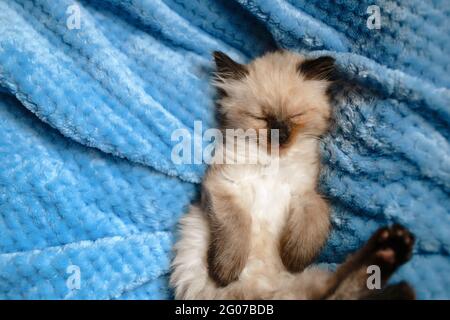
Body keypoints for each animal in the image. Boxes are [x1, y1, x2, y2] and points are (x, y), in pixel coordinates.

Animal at [171, 50, 416, 300]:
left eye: (296, 116)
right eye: (262, 118)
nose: (281, 135)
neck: (274, 160)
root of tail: (268, 293)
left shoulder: (304, 192)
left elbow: (318, 215)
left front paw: (292, 258)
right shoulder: (226, 185)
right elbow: (237, 227)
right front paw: (225, 272)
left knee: (344, 286)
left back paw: (393, 247)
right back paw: (391, 249)